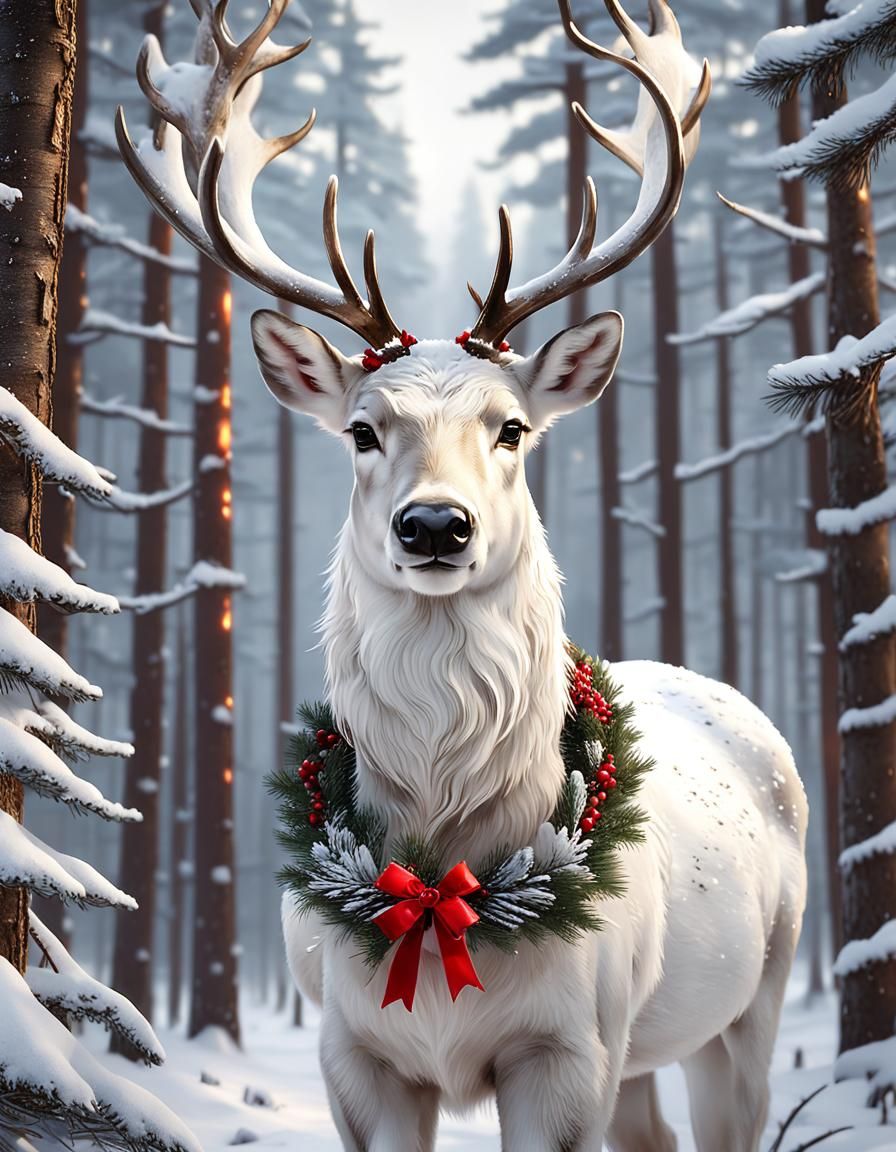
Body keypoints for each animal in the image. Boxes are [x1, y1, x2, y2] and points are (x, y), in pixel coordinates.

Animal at [117, 1, 808, 1149]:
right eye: (361, 429)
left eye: (512, 427)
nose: (435, 524)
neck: (443, 859)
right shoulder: (353, 1054)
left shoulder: (565, 1049)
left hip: (751, 998)